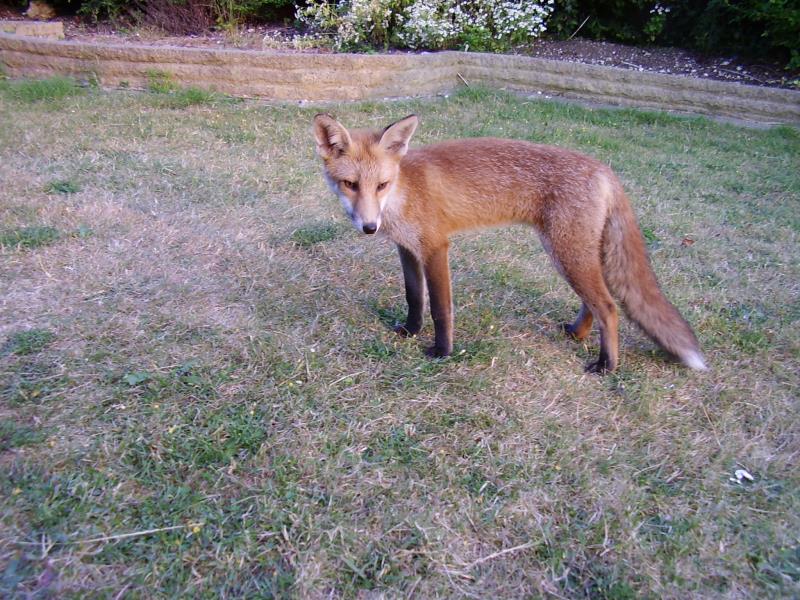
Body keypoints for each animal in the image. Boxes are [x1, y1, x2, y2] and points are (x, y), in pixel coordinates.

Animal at [312, 113, 708, 372]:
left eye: (381, 185)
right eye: (350, 185)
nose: (369, 227)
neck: (403, 192)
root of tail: (603, 168)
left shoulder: (436, 247)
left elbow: (441, 308)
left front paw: (442, 350)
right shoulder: (408, 249)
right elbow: (414, 297)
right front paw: (410, 331)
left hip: (565, 252)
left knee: (609, 307)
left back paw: (607, 365)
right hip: (572, 253)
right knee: (595, 302)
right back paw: (577, 334)